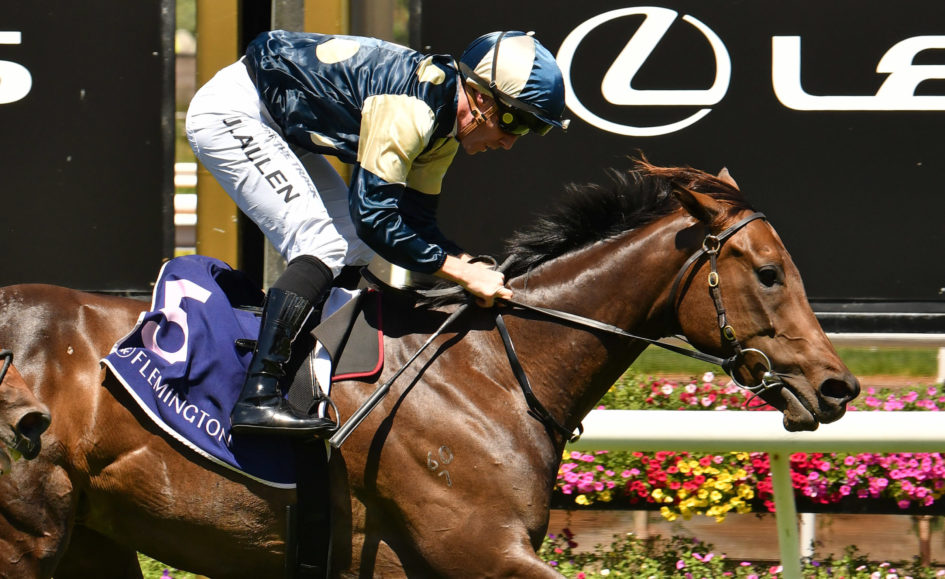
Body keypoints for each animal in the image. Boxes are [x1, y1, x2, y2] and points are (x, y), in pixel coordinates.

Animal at [0, 160, 859, 578]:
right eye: (769, 272)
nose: (836, 385)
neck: (490, 372)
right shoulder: (476, 550)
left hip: (93, 540)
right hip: (29, 535)